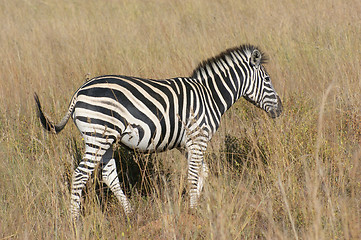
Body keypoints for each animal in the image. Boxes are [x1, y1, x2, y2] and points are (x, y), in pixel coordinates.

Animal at [34, 44, 282, 220]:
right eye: (268, 79)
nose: (280, 109)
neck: (210, 95)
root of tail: (79, 91)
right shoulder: (198, 138)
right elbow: (194, 174)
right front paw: (194, 210)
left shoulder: (187, 144)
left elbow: (203, 171)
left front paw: (196, 204)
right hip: (98, 136)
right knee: (80, 175)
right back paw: (74, 220)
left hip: (106, 139)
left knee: (108, 175)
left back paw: (131, 214)